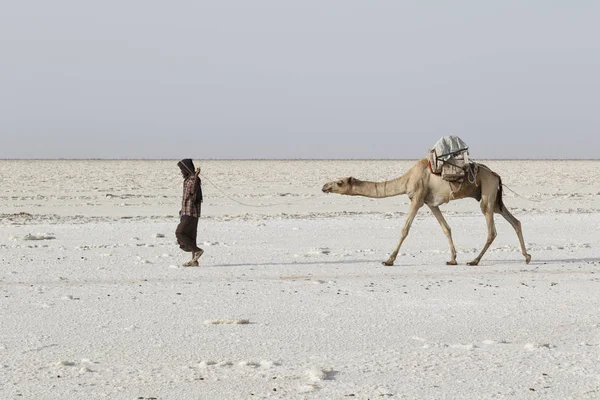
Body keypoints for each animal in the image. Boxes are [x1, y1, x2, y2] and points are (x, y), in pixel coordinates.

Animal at [322, 159, 532, 266]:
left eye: (339, 182)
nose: (324, 186)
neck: (407, 179)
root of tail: (496, 175)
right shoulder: (431, 203)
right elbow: (446, 228)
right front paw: (452, 259)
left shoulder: (417, 198)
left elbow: (404, 229)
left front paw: (389, 260)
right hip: (494, 198)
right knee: (515, 221)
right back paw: (527, 256)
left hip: (487, 193)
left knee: (492, 230)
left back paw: (474, 260)